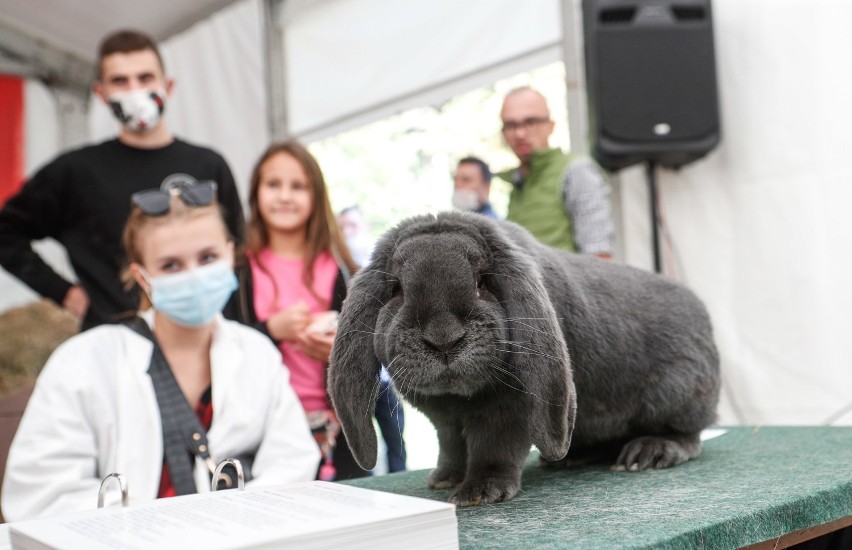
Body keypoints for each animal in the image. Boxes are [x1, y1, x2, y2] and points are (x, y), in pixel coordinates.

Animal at [326, 212, 720, 508]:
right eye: (397, 289)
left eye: (482, 282)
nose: (444, 339)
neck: (458, 397)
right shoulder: (445, 422)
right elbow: (451, 445)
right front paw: (444, 479)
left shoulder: (510, 410)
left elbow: (494, 446)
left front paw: (479, 493)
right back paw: (571, 458)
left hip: (676, 394)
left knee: (690, 433)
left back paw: (649, 454)